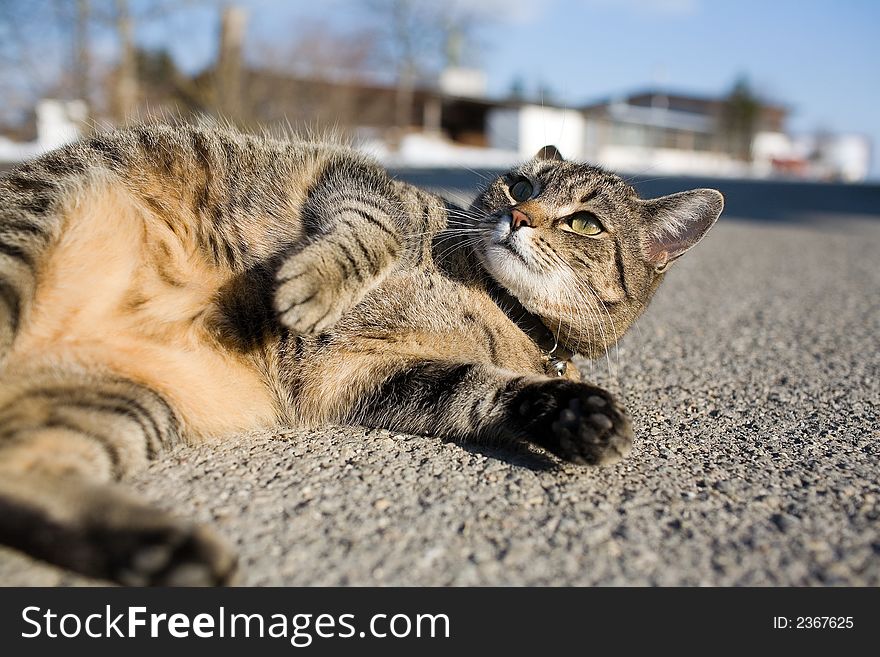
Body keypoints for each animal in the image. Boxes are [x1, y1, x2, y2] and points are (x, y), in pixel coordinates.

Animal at [0, 123, 720, 584]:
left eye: (585, 223)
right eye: (519, 186)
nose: (518, 218)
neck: (497, 302)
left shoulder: (369, 378)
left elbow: (483, 390)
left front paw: (577, 416)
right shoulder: (361, 182)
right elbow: (371, 231)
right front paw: (310, 288)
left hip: (128, 404)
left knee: (20, 477)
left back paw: (166, 550)